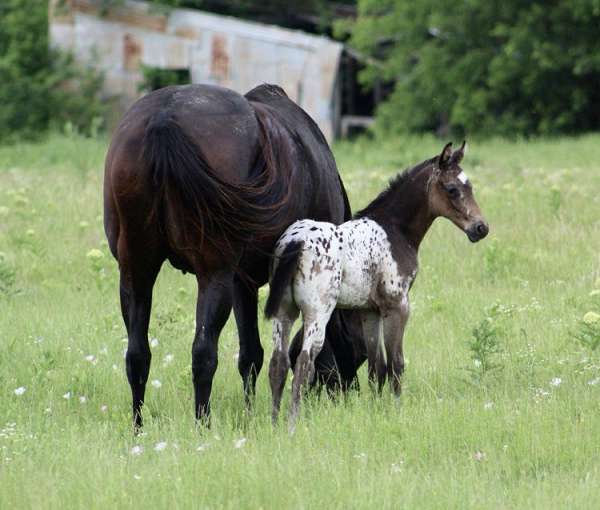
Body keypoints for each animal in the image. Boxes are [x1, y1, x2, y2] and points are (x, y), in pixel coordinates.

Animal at [103, 83, 360, 426]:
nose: (351, 392)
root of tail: (163, 118)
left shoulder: (242, 282)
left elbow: (250, 355)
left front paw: (249, 413)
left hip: (137, 272)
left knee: (137, 355)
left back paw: (138, 426)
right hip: (214, 275)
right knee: (202, 353)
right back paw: (203, 424)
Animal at [266, 141, 488, 428]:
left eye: (469, 186)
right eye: (452, 189)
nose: (481, 228)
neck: (395, 230)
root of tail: (296, 241)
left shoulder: (369, 311)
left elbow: (376, 366)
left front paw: (375, 410)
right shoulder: (398, 306)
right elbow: (396, 363)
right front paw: (397, 410)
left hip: (284, 312)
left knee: (278, 364)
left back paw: (273, 424)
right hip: (317, 313)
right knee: (304, 363)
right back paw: (293, 425)